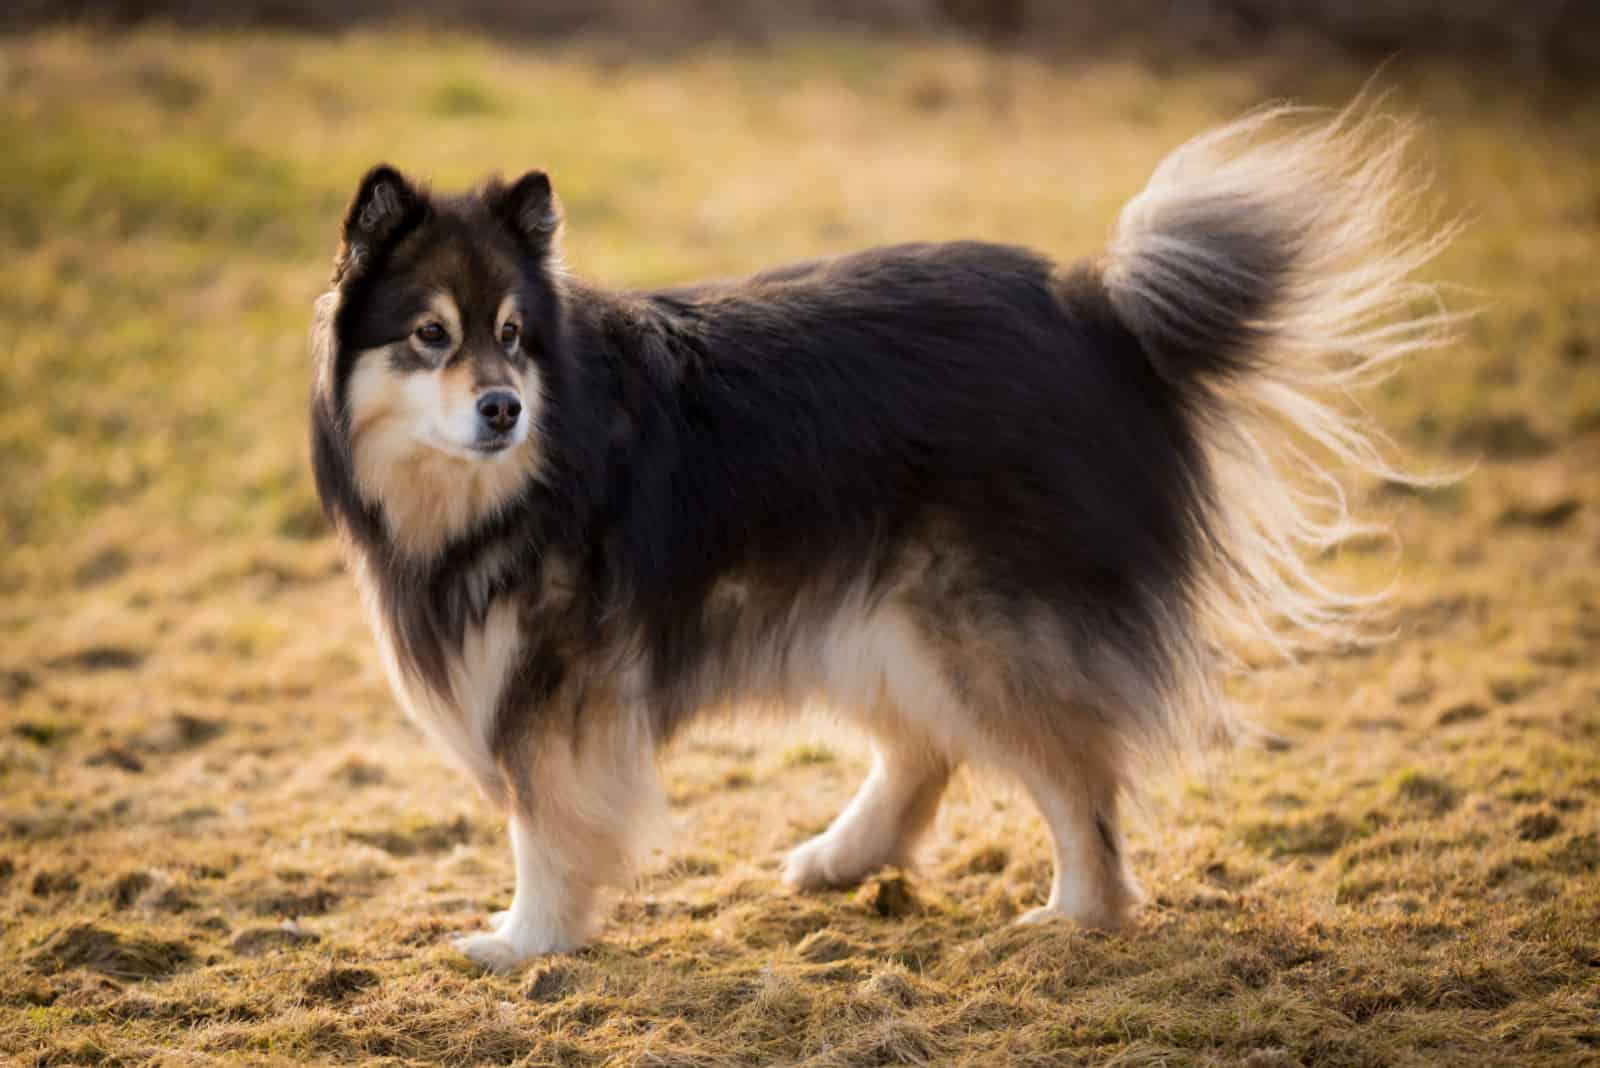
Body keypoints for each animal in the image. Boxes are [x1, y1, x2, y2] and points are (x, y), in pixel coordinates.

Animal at [308, 106, 1452, 965]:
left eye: (512, 337)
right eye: (430, 336)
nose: (503, 409)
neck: (520, 472)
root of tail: (1097, 314)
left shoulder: (555, 682)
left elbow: (544, 821)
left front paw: (525, 939)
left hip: (971, 622)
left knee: (1073, 775)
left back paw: (1076, 916)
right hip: (876, 607)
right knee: (927, 747)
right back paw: (844, 857)